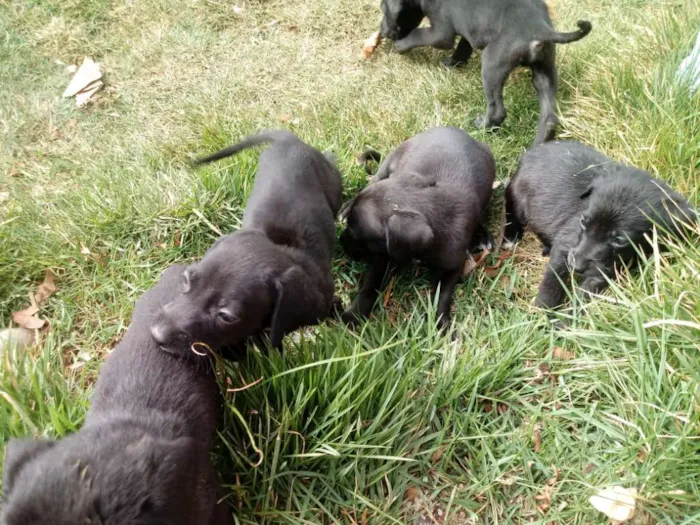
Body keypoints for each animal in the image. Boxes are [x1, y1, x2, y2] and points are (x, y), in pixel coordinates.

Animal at [340, 127, 494, 330]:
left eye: (355, 233)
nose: (340, 243)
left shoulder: (454, 266)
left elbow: (442, 296)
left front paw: (441, 324)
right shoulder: (383, 255)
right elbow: (372, 281)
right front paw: (355, 312)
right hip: (387, 167)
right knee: (373, 180)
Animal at [378, 0, 592, 144]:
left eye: (383, 7)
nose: (382, 32)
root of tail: (541, 29)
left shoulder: (440, 32)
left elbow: (419, 35)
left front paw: (400, 46)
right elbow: (463, 46)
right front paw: (453, 63)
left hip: (492, 64)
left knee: (497, 111)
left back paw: (482, 126)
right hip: (545, 70)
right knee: (549, 117)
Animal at [504, 141, 696, 310]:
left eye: (619, 240)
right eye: (583, 221)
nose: (576, 266)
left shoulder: (604, 271)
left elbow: (584, 294)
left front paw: (568, 321)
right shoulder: (566, 247)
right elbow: (553, 282)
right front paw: (545, 311)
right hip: (518, 199)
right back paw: (510, 236)